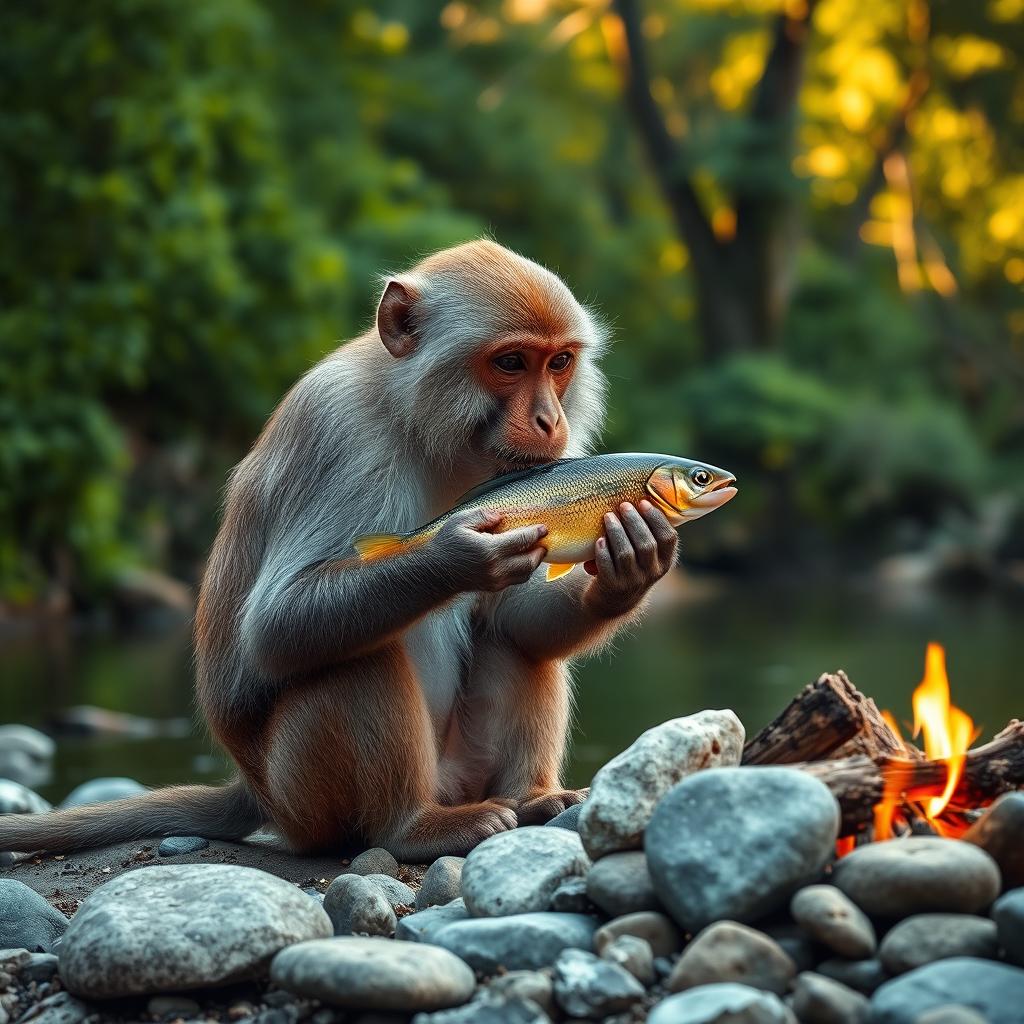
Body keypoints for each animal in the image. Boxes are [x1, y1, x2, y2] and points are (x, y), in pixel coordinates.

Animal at [0, 240, 679, 860]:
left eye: (559, 362)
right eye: (511, 362)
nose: (549, 421)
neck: (419, 421)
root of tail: (255, 792)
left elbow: (516, 615)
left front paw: (628, 566)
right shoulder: (337, 433)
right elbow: (276, 623)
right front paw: (456, 557)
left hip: (459, 768)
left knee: (515, 641)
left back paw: (534, 799)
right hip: (302, 797)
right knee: (353, 653)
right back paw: (414, 828)